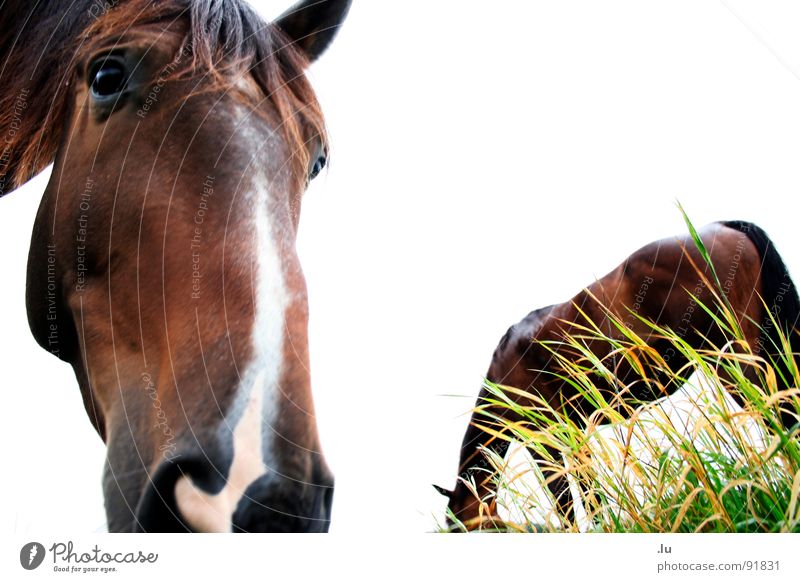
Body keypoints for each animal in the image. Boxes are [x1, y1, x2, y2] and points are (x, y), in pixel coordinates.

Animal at [438, 221, 800, 532]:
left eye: (458, 529)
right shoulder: (575, 432)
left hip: (736, 359)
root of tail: (723, 227)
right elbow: (588, 491)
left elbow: (568, 500)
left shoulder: (547, 441)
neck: (506, 361)